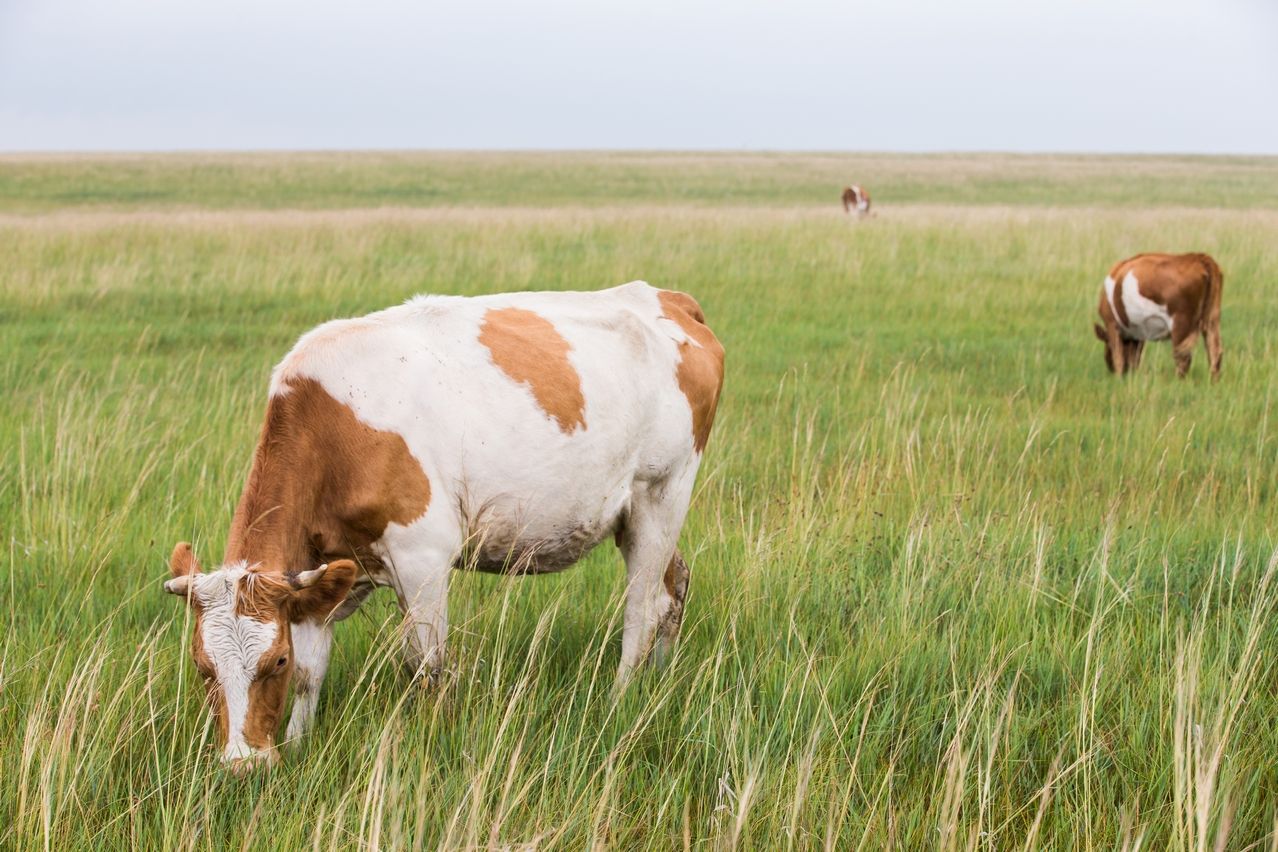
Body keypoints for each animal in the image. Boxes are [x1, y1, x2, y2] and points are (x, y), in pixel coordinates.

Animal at [161, 283, 725, 771]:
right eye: (203, 667)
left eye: (272, 662)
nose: (241, 766)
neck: (331, 432)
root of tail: (664, 296)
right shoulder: (321, 575)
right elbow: (311, 673)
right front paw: (298, 746)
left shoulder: (422, 558)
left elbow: (427, 666)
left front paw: (434, 740)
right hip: (635, 515)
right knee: (675, 585)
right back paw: (659, 679)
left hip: (662, 491)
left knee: (643, 608)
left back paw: (619, 699)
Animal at [1093, 251, 1221, 380]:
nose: (1110, 368)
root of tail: (1199, 258)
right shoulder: (1138, 334)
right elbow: (1134, 359)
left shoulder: (1111, 323)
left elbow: (1118, 358)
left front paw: (1118, 379)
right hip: (1212, 319)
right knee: (1215, 353)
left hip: (1181, 323)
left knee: (1183, 359)